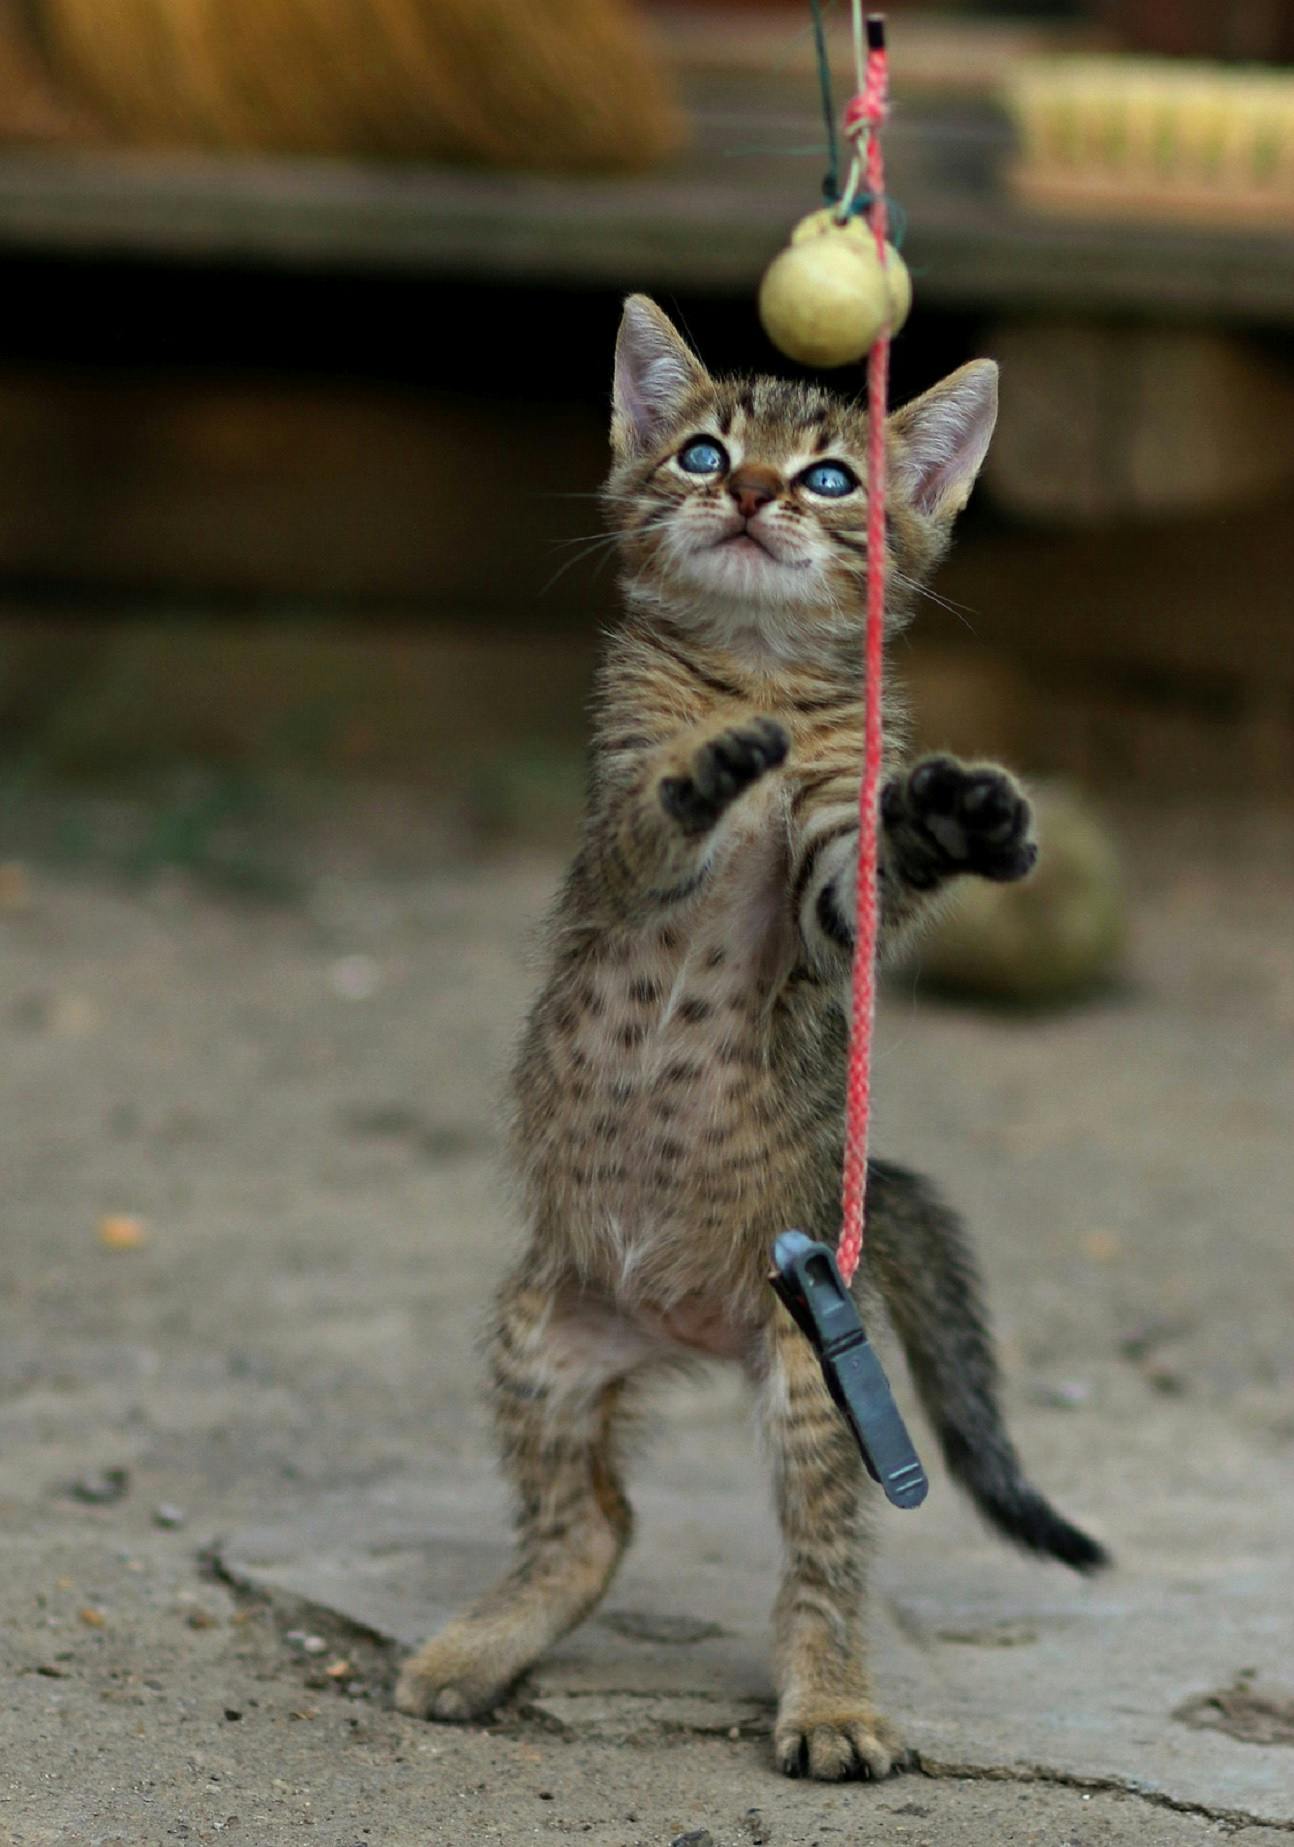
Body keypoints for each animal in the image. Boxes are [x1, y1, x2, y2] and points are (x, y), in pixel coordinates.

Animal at [393, 299, 1100, 1773]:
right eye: (702, 450)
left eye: (828, 476)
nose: (756, 490)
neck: (749, 669)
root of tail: (689, 1325)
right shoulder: (616, 832)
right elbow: (657, 808)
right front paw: (709, 769)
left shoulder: (827, 888)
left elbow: (859, 868)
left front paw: (946, 818)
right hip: (544, 1341)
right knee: (593, 1527)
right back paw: (480, 1648)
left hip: (814, 1385)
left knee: (819, 1572)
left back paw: (829, 1703)